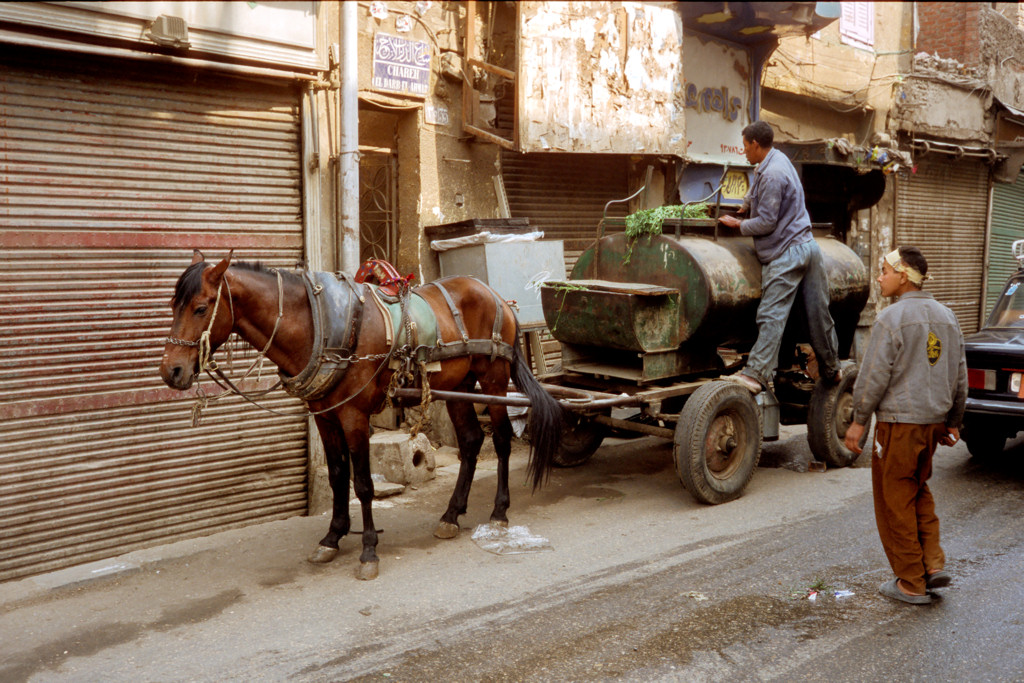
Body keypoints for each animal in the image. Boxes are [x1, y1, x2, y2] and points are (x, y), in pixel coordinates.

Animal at [157, 250, 569, 581]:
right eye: (174, 305)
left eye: (201, 307)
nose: (171, 372)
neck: (319, 324)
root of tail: (498, 297)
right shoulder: (323, 414)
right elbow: (338, 476)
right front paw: (332, 536)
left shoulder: (354, 415)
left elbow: (364, 485)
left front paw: (369, 550)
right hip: (460, 384)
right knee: (470, 441)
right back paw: (451, 516)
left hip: (494, 378)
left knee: (500, 440)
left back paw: (499, 512)